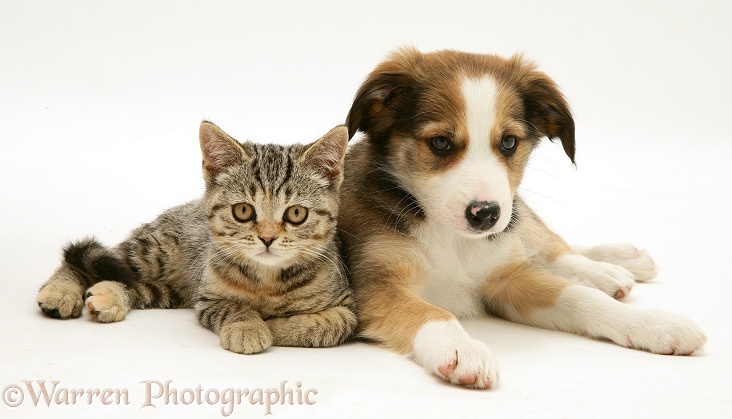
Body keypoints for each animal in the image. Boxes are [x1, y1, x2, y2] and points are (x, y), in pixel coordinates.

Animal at [37, 121, 358, 354]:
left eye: (296, 214)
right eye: (243, 211)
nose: (267, 238)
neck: (268, 280)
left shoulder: (348, 308)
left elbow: (326, 327)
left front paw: (272, 325)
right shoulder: (208, 299)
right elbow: (235, 308)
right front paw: (249, 326)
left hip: (173, 290)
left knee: (138, 286)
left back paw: (107, 297)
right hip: (155, 250)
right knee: (94, 259)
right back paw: (60, 291)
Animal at [340, 47, 708, 388]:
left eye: (508, 142)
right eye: (440, 142)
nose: (486, 214)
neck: (452, 239)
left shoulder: (506, 277)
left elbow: (578, 295)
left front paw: (652, 323)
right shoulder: (377, 285)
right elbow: (432, 313)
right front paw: (461, 348)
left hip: (515, 216)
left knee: (550, 244)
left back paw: (610, 267)